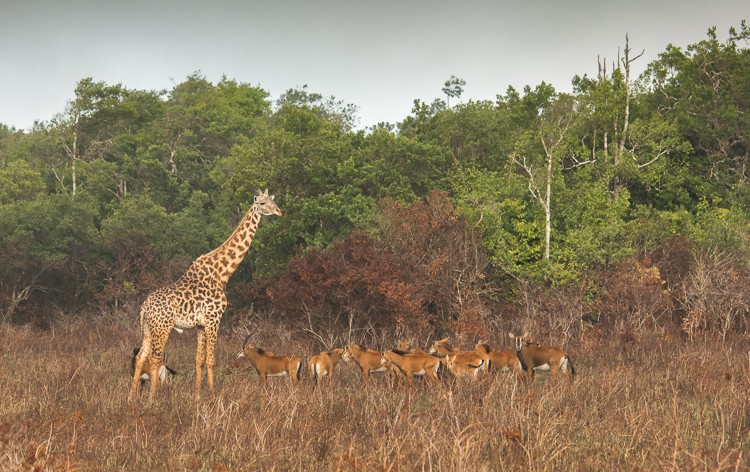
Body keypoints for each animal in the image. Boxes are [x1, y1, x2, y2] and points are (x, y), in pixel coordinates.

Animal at [129, 189, 282, 402]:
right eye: (261, 203)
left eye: (273, 201)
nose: (278, 211)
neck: (222, 274)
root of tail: (144, 308)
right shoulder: (213, 319)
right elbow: (211, 360)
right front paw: (212, 394)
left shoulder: (200, 325)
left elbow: (199, 360)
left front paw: (197, 396)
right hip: (162, 328)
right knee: (154, 359)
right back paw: (152, 399)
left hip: (147, 329)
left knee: (140, 356)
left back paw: (130, 398)